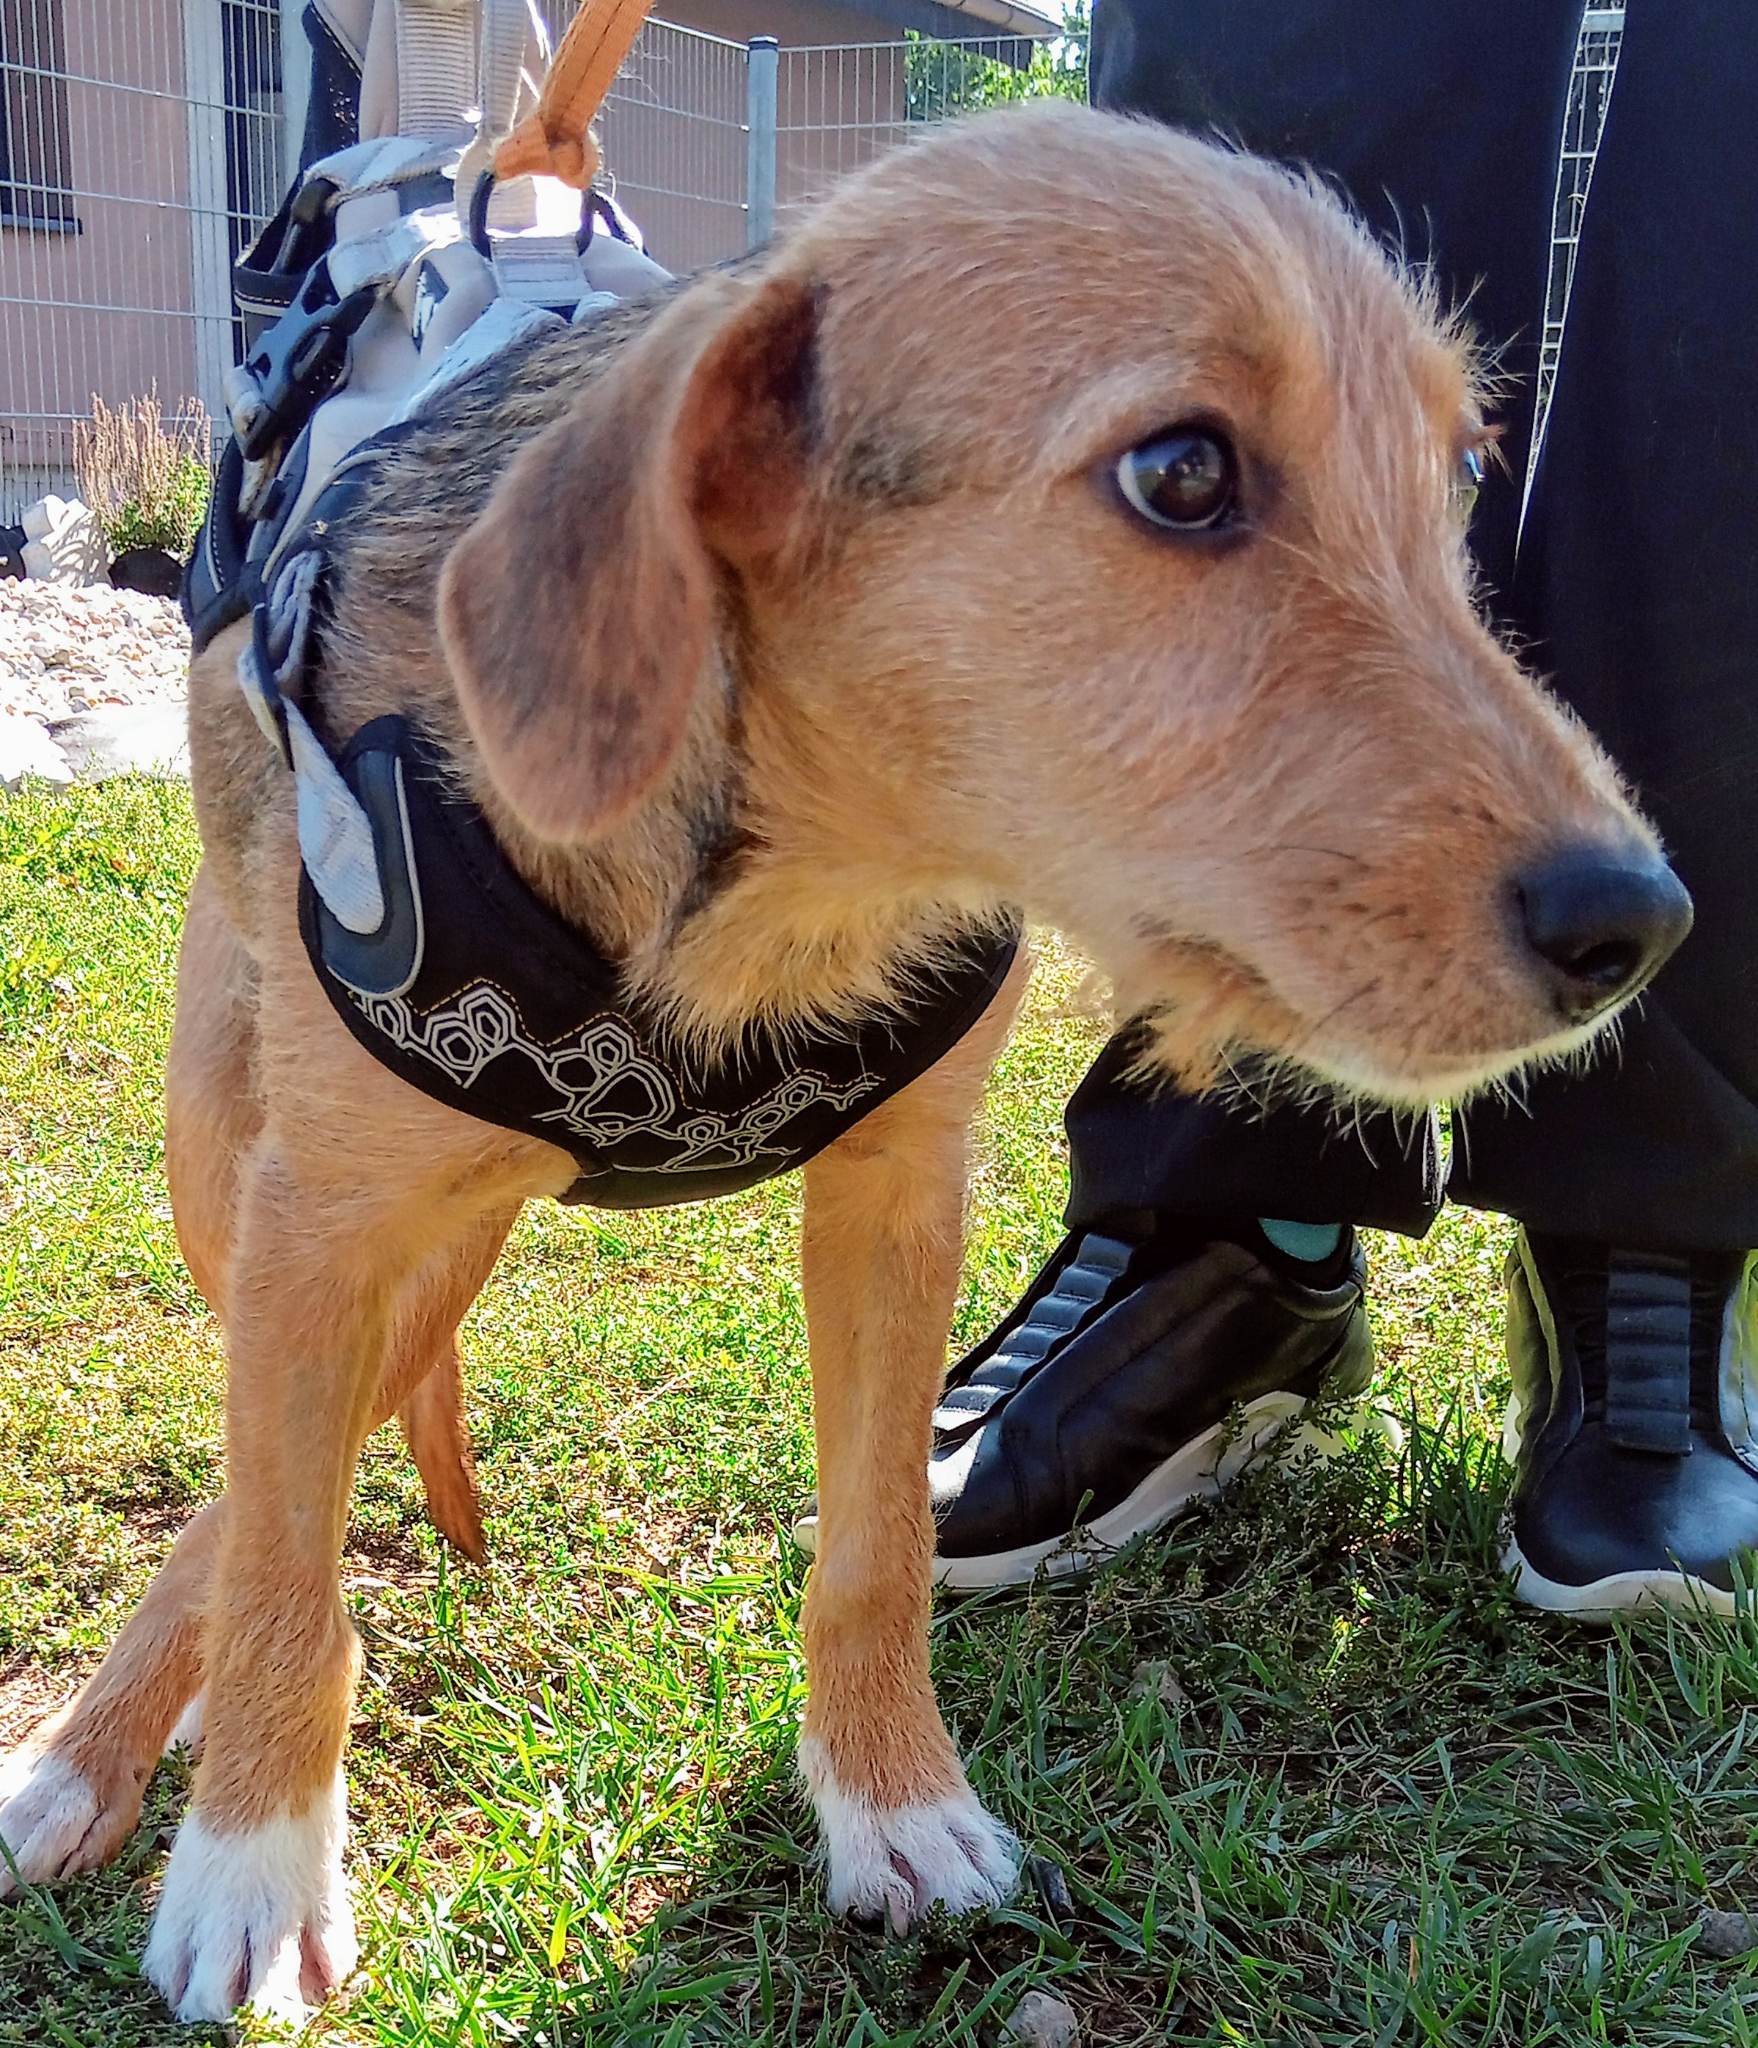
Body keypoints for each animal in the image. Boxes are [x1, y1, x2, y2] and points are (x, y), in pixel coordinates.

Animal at [0, 102, 1689, 2022]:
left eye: (1459, 474)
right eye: (1182, 474)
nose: (1638, 923)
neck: (788, 897)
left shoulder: (899, 1198)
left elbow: (875, 1546)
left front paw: (895, 1802)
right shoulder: (329, 1216)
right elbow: (287, 1554)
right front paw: (253, 1864)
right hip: (244, 1162)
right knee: (249, 1486)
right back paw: (94, 1754)